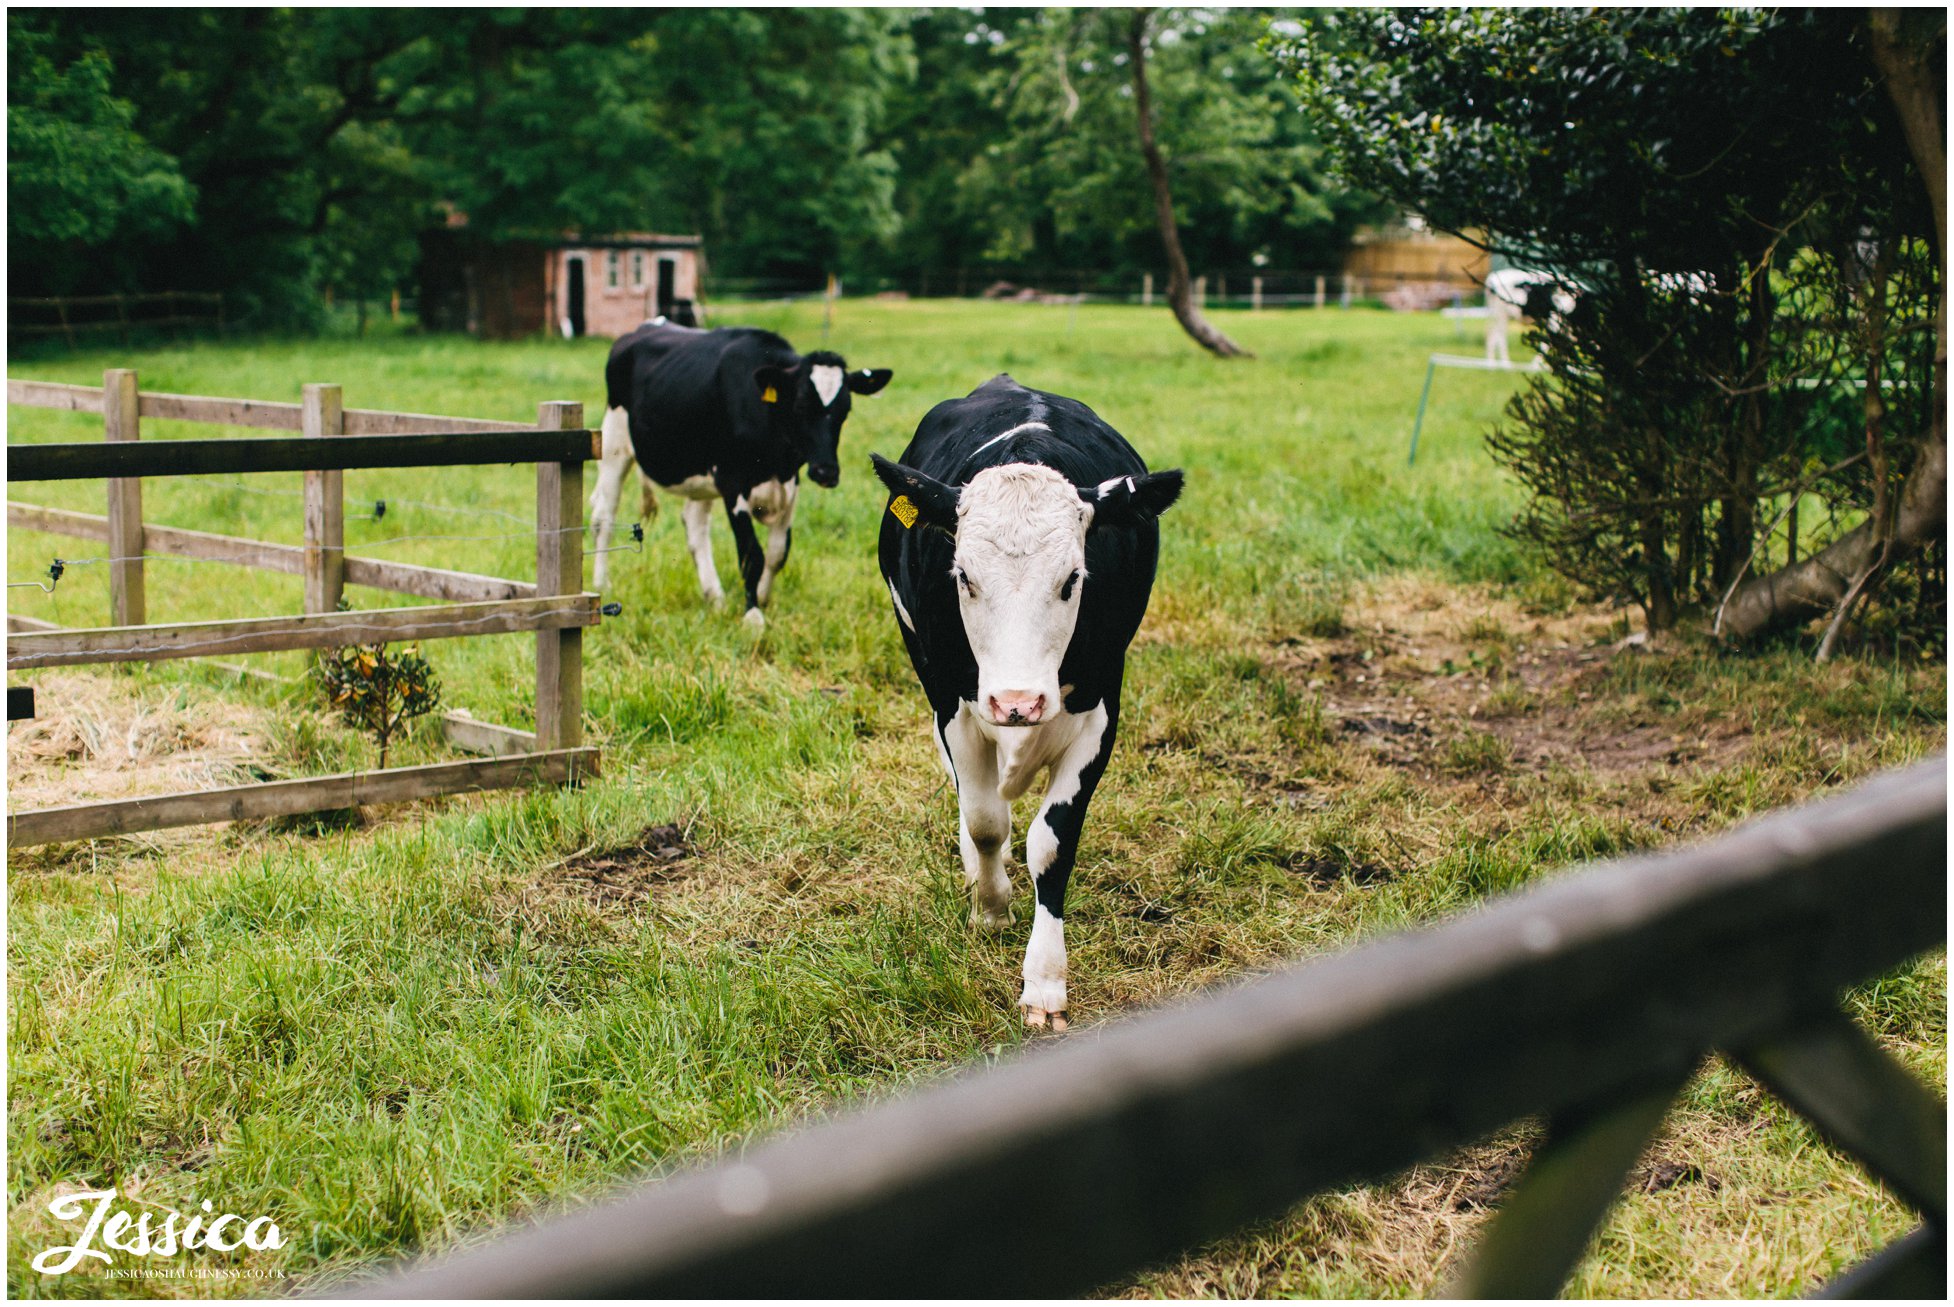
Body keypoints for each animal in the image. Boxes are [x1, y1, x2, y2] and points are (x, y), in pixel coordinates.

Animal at [590, 316, 894, 621]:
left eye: (845, 410)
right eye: (800, 405)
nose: (826, 472)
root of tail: (648, 325)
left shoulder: (790, 484)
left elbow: (778, 552)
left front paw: (762, 597)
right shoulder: (732, 483)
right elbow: (752, 554)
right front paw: (753, 614)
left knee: (695, 526)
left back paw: (715, 597)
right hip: (614, 444)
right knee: (604, 516)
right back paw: (601, 583)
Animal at [879, 375, 1180, 1031]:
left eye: (1073, 578)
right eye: (963, 576)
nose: (1017, 700)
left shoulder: (1101, 709)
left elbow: (1052, 843)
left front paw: (1044, 980)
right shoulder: (953, 700)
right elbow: (986, 821)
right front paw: (991, 907)